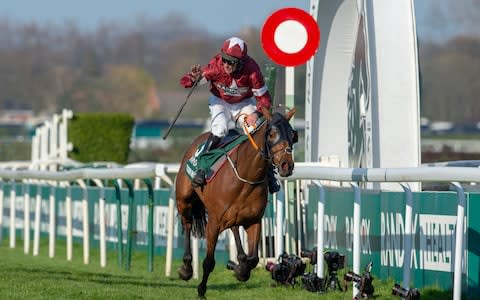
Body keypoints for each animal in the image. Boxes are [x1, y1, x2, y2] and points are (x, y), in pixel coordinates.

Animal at [174, 107, 298, 298]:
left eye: (293, 135)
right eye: (271, 134)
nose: (286, 165)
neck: (246, 177)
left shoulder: (254, 221)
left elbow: (253, 259)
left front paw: (240, 269)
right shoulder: (214, 222)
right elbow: (209, 261)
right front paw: (201, 290)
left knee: (234, 230)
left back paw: (238, 261)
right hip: (184, 200)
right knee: (187, 224)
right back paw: (186, 268)